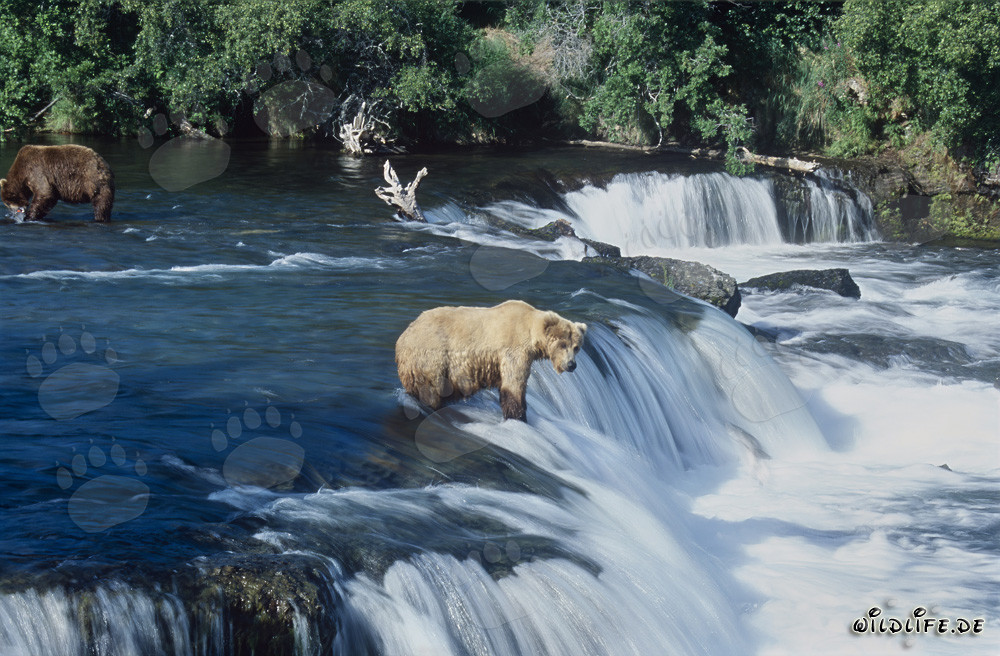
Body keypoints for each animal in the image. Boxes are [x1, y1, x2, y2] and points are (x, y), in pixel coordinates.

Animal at [395, 300, 587, 421]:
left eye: (576, 347)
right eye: (563, 344)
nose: (571, 365)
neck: (530, 333)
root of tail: (404, 335)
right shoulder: (514, 349)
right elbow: (513, 385)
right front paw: (517, 415)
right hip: (431, 356)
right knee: (431, 389)